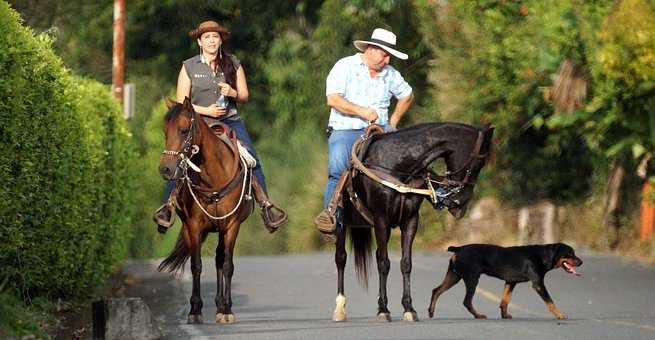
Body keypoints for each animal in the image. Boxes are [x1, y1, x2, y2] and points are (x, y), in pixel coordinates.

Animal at [156, 97, 254, 322]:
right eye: (165, 131)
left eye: (183, 130)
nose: (166, 169)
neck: (213, 178)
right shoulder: (194, 226)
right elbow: (196, 265)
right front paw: (195, 310)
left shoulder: (232, 225)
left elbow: (227, 265)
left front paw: (227, 310)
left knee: (220, 260)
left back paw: (221, 306)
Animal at [334, 121, 492, 322]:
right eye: (480, 162)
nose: (460, 204)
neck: (398, 168)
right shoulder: (381, 219)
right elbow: (384, 264)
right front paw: (384, 310)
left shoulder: (410, 221)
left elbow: (406, 263)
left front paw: (409, 308)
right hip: (342, 225)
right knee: (341, 259)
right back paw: (340, 308)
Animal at [430, 243, 584, 320]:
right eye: (570, 253)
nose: (581, 262)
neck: (543, 255)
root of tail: (459, 248)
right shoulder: (538, 284)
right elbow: (550, 302)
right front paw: (560, 315)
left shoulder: (510, 282)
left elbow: (505, 301)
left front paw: (504, 316)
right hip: (472, 278)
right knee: (466, 301)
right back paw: (478, 315)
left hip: (454, 276)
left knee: (436, 290)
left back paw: (431, 312)